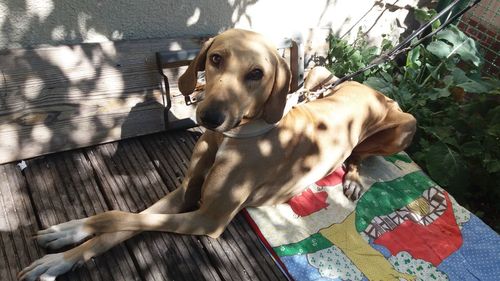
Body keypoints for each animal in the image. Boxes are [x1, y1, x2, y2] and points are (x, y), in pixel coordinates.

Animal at [19, 29, 416, 280]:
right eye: (215, 58)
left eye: (256, 73)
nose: (209, 117)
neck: (228, 138)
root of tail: (372, 90)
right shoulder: (185, 192)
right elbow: (123, 220)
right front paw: (63, 246)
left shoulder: (208, 219)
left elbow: (118, 217)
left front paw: (72, 234)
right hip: (321, 74)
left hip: (404, 125)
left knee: (361, 152)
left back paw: (353, 177)